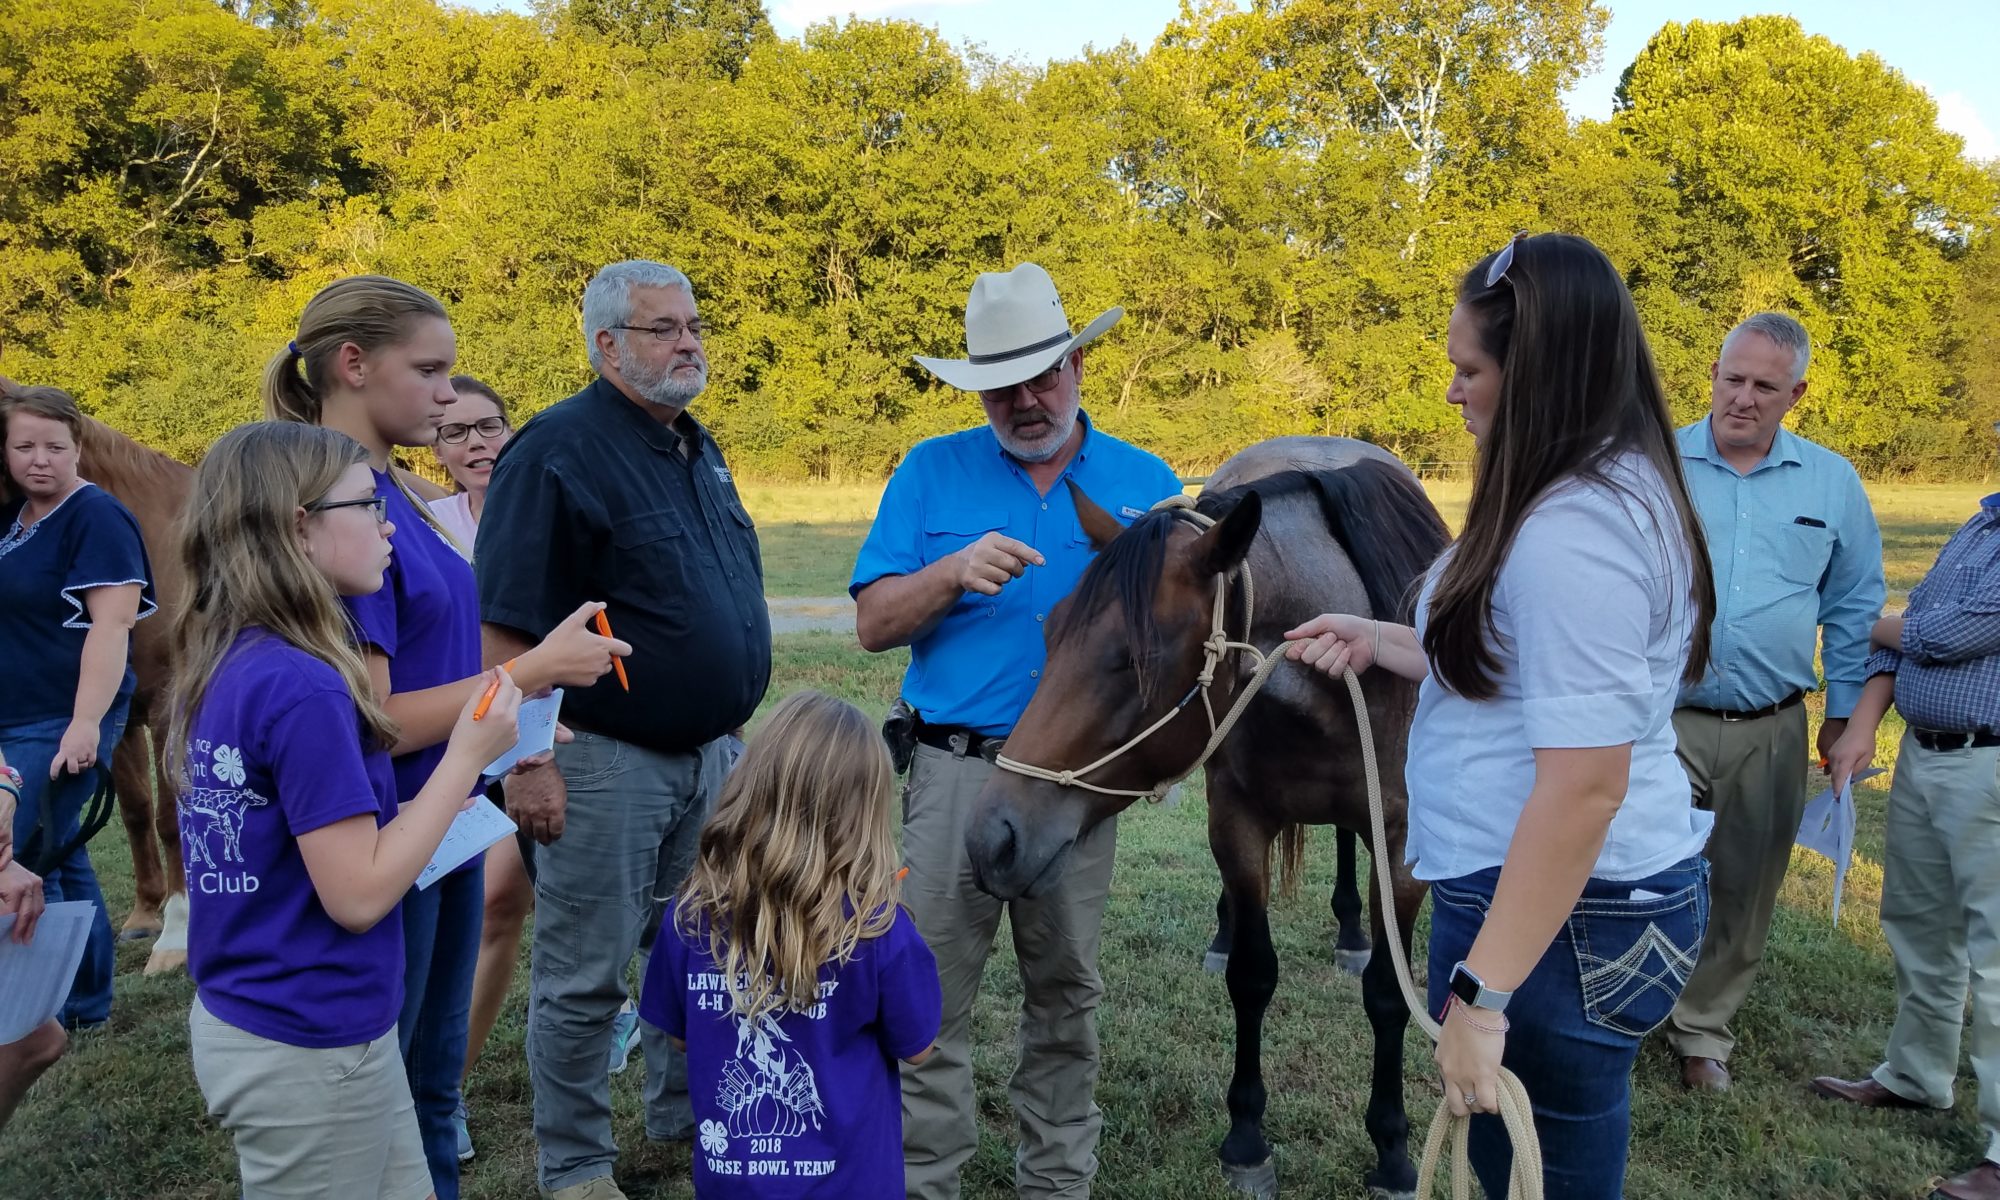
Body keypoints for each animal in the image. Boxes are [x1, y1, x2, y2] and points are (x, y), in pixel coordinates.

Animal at [960, 438, 1448, 1200]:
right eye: (1051, 632)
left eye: (1133, 660)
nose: (993, 839)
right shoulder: (1237, 824)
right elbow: (1250, 974)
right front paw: (1246, 1138)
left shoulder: (1402, 850)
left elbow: (1390, 994)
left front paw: (1393, 1148)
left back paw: (1349, 931)